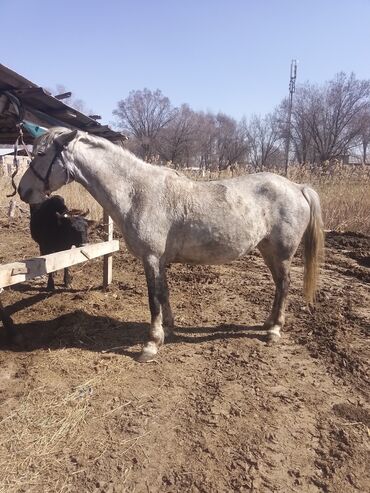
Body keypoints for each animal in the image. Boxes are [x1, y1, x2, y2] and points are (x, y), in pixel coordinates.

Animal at [18, 128, 324, 362]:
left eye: (41, 154)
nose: (23, 191)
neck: (136, 192)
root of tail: (297, 187)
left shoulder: (151, 258)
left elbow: (153, 298)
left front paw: (151, 345)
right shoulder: (159, 260)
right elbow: (163, 294)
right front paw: (169, 328)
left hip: (282, 252)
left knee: (284, 285)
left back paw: (274, 331)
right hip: (267, 250)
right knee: (279, 285)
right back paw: (268, 323)